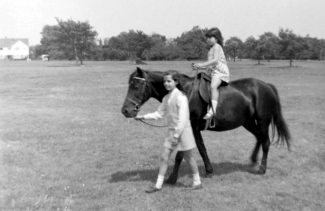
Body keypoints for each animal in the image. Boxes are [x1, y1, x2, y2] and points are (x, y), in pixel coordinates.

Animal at [121, 67, 288, 183]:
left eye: (136, 86)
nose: (125, 110)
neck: (185, 93)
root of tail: (266, 86)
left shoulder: (191, 127)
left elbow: (186, 153)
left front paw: (172, 178)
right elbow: (199, 149)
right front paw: (208, 170)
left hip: (263, 121)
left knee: (265, 142)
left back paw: (262, 168)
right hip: (248, 122)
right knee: (259, 138)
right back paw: (253, 160)